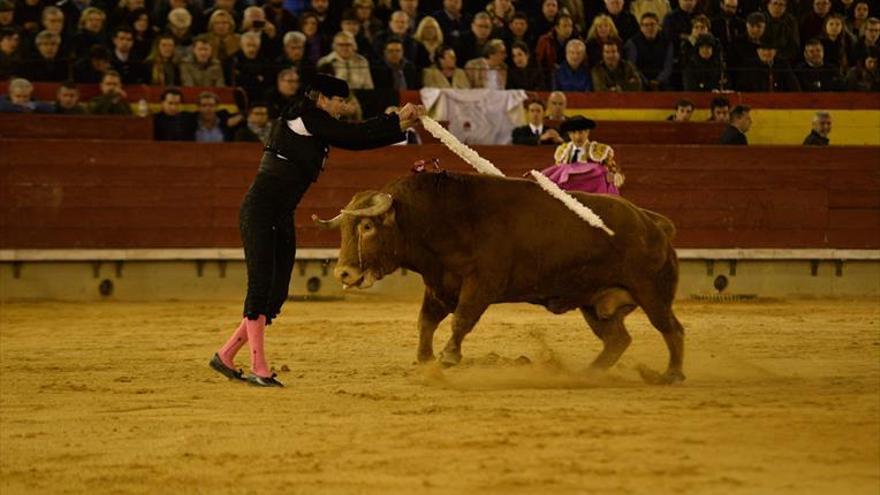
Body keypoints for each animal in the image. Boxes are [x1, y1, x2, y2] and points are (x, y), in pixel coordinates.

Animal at [312, 170, 684, 384]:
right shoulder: (439, 285)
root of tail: (653, 222)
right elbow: (426, 322)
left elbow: (462, 319)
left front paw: (448, 357)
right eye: (344, 228)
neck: (440, 218)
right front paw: (425, 360)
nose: (343, 271)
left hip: (651, 293)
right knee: (617, 339)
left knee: (671, 328)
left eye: (367, 226)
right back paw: (588, 374)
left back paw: (671, 374)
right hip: (594, 303)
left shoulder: (481, 284)